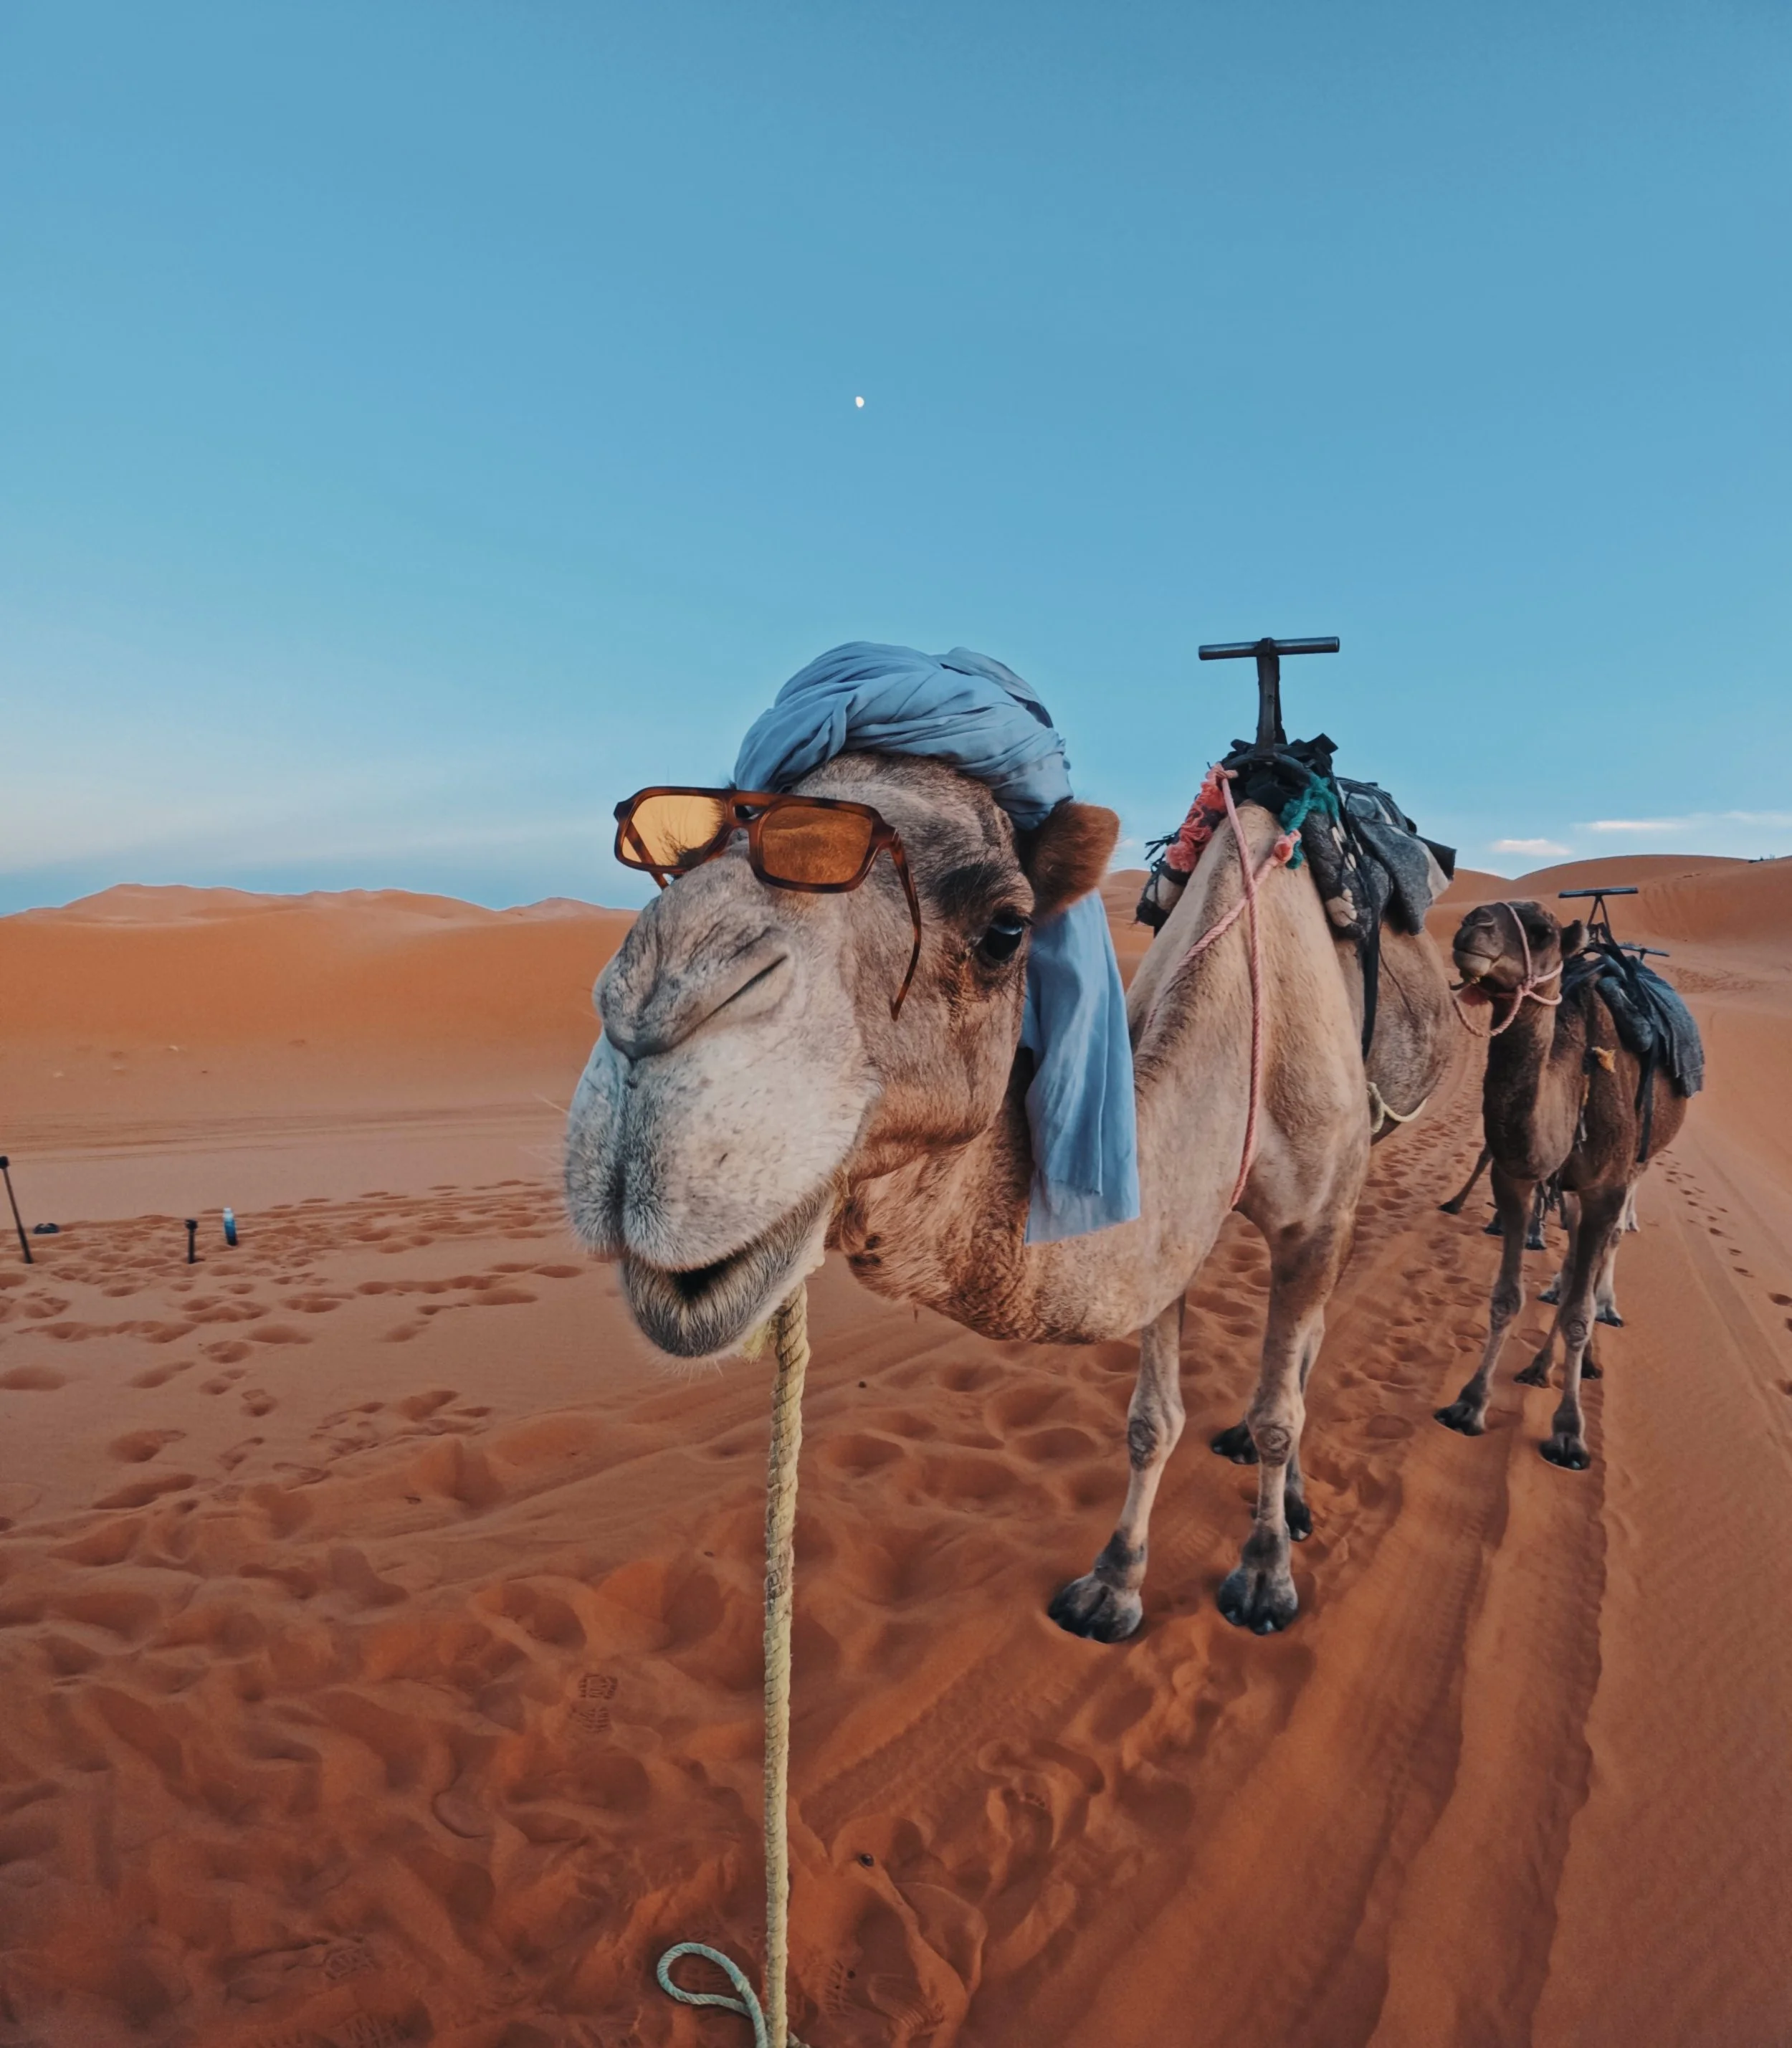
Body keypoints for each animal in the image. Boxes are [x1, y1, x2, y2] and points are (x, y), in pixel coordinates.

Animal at [567, 750, 1450, 1638]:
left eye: (1005, 930)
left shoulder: (1317, 1216)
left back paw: (1291, 1500)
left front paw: (1265, 1575)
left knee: (1306, 1353)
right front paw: (1114, 1581)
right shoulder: (1174, 1221)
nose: (648, 1013)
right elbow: (1150, 1420)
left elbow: (1278, 1413)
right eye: (682, 862)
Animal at [1434, 901, 1689, 1467]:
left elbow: (1578, 1309)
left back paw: (1599, 1328)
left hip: (1638, 1162)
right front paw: (1470, 1402)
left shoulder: (1607, 1186)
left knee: (1603, 1254)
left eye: (1543, 932)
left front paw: (1569, 1432)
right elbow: (1507, 1296)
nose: (1473, 924)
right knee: (1573, 1260)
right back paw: (1540, 1365)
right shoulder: (1517, 1176)